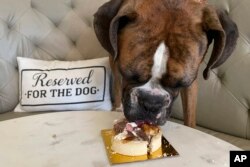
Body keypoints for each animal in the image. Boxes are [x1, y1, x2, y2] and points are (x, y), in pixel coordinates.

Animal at [94, 0, 238, 126]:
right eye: (128, 75)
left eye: (180, 84)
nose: (151, 103)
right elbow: (118, 82)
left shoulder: (191, 83)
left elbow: (190, 114)